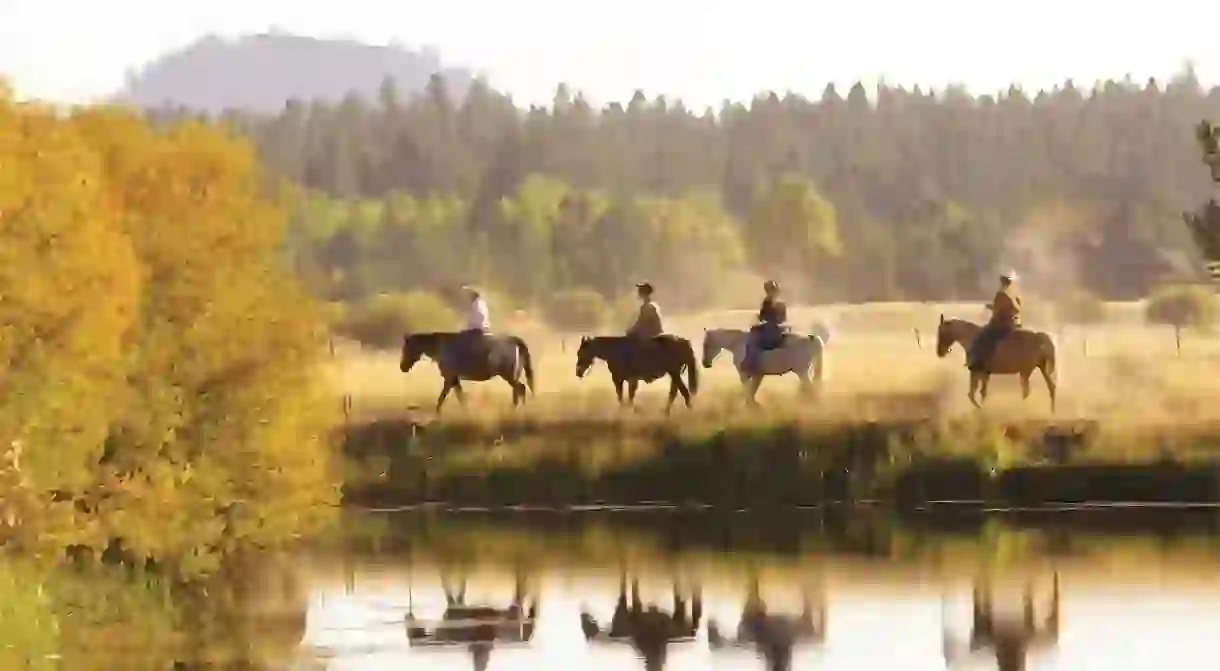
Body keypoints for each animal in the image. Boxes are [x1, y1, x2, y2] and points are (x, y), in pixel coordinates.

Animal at [400, 331, 534, 414]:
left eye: (406, 348)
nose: (402, 368)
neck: (441, 347)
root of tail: (512, 341)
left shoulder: (449, 378)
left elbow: (442, 397)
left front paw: (437, 413)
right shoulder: (454, 379)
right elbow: (461, 397)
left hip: (509, 376)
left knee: (520, 389)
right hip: (512, 376)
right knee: (518, 390)